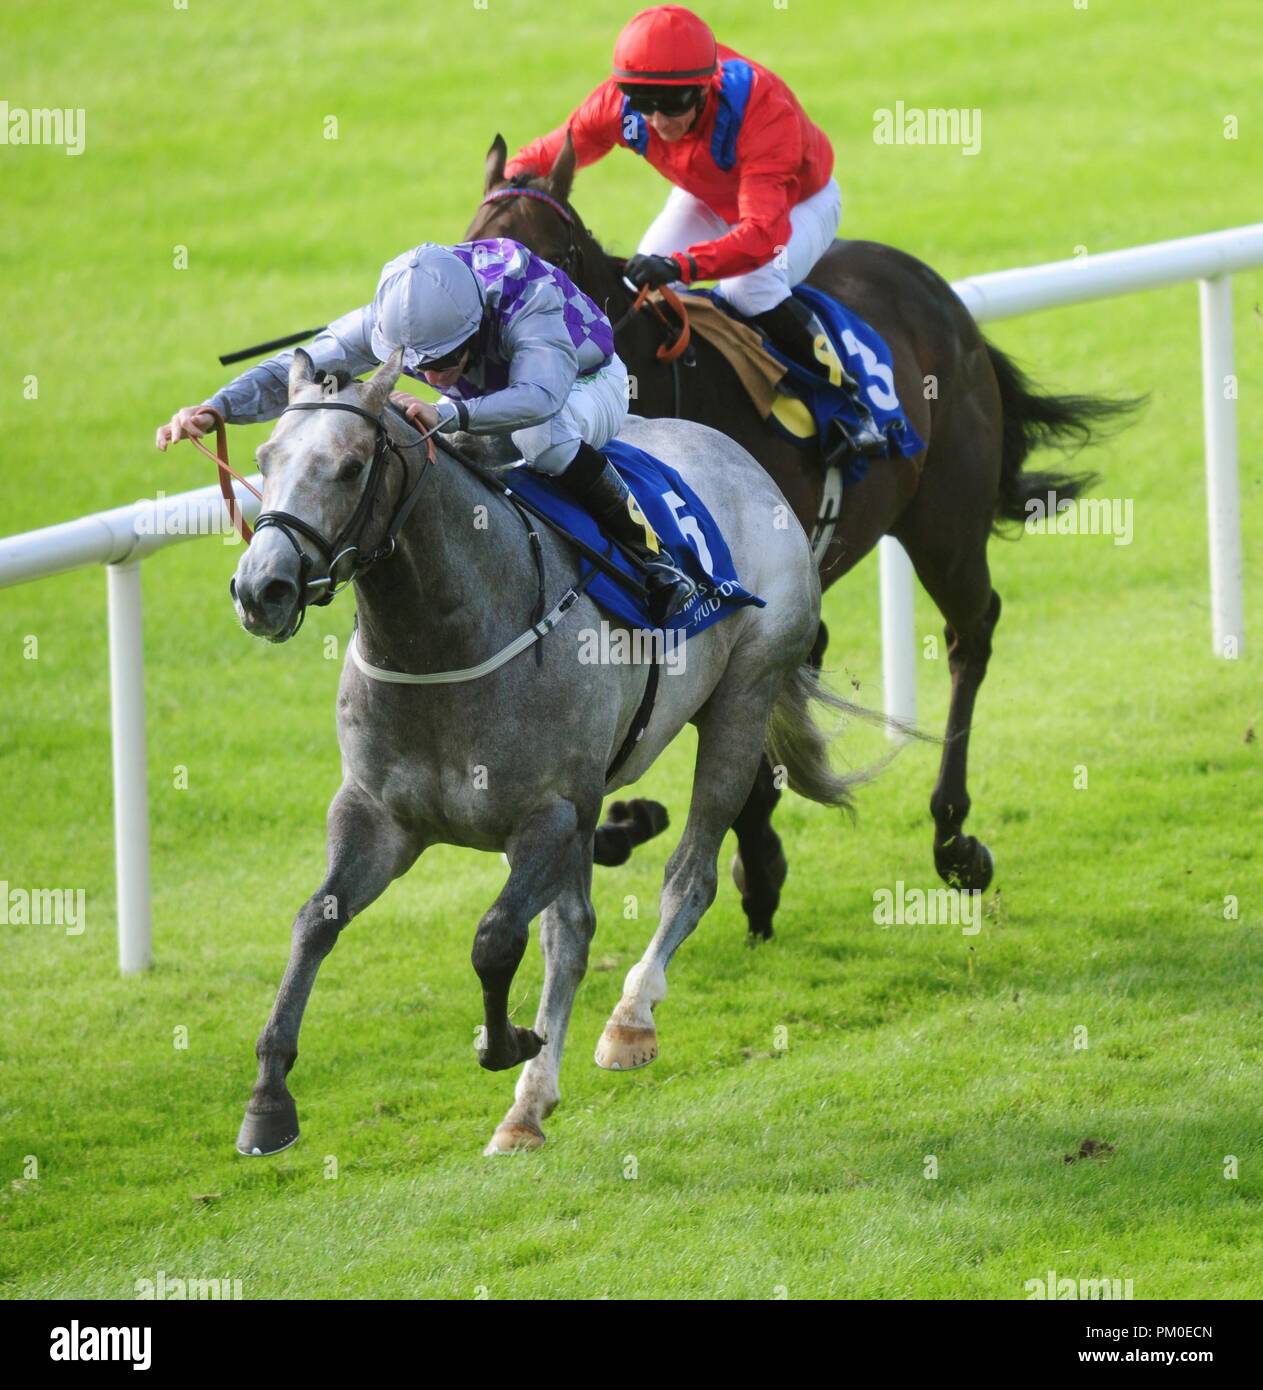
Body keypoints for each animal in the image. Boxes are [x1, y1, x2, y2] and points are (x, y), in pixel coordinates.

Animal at [226, 353, 855, 1156]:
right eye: (264, 458)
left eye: (350, 466)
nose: (261, 589)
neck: (445, 640)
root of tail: (741, 458)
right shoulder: (377, 816)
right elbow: (316, 920)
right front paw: (268, 1100)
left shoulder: (548, 814)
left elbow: (496, 939)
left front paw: (508, 1043)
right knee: (574, 930)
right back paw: (529, 1107)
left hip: (740, 701)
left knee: (689, 876)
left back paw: (629, 1020)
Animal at [466, 135, 1139, 939]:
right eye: (470, 246)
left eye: (550, 255)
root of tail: (935, 291)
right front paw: (669, 832)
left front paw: (720, 850)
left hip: (943, 522)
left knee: (969, 634)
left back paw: (954, 836)